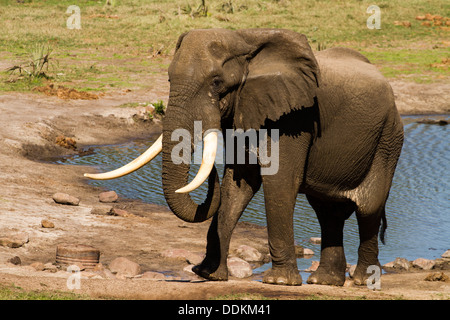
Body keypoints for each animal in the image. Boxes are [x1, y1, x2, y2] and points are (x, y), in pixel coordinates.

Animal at [84, 28, 404, 286]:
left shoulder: (292, 117)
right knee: (328, 212)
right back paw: (324, 282)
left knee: (368, 208)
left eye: (216, 83)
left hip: (388, 138)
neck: (246, 40)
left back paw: (363, 282)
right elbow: (237, 184)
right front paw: (208, 274)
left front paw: (279, 282)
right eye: (169, 78)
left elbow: (279, 182)